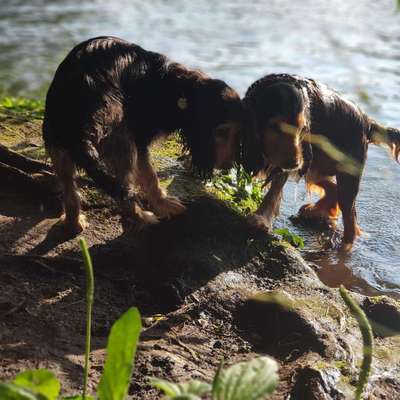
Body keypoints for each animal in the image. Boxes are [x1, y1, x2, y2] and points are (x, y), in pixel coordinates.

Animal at [43, 36, 244, 234]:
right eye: (221, 132)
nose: (229, 166)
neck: (179, 89)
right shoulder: (139, 140)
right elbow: (150, 176)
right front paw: (163, 203)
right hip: (120, 136)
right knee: (124, 190)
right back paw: (141, 216)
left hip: (58, 141)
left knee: (69, 187)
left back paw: (73, 222)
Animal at [242, 73, 400, 248]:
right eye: (277, 127)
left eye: (303, 130)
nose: (295, 163)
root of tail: (367, 122)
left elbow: (274, 190)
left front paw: (260, 220)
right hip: (316, 165)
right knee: (331, 187)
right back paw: (313, 212)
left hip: (345, 174)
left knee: (350, 219)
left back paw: (342, 245)